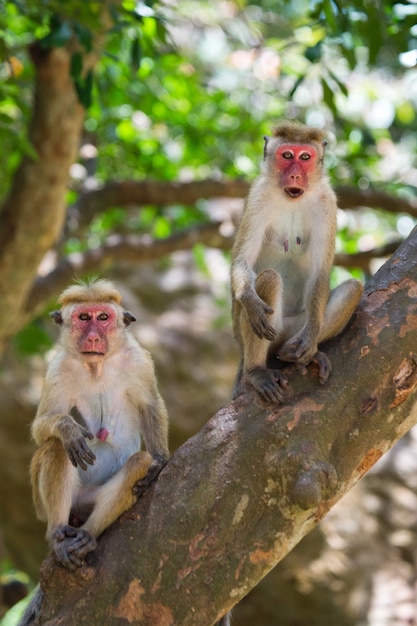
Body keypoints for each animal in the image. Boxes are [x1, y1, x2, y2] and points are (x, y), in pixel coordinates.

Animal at [28, 278, 169, 572]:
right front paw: (68, 429)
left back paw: (87, 535)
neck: (96, 365)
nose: (93, 337)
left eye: (103, 317)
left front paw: (160, 460)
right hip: (48, 505)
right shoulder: (57, 369)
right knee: (56, 447)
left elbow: (150, 405)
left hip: (89, 500)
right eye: (84, 318)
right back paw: (58, 534)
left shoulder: (138, 361)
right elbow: (42, 426)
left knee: (139, 463)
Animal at [229, 120, 362, 404]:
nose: (295, 177)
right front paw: (252, 302)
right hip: (262, 332)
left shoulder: (327, 201)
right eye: (287, 155)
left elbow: (320, 273)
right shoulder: (258, 196)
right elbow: (243, 259)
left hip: (293, 328)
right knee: (268, 279)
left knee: (353, 288)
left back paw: (301, 353)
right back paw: (256, 371)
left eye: (305, 158)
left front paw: (310, 342)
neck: (292, 198)